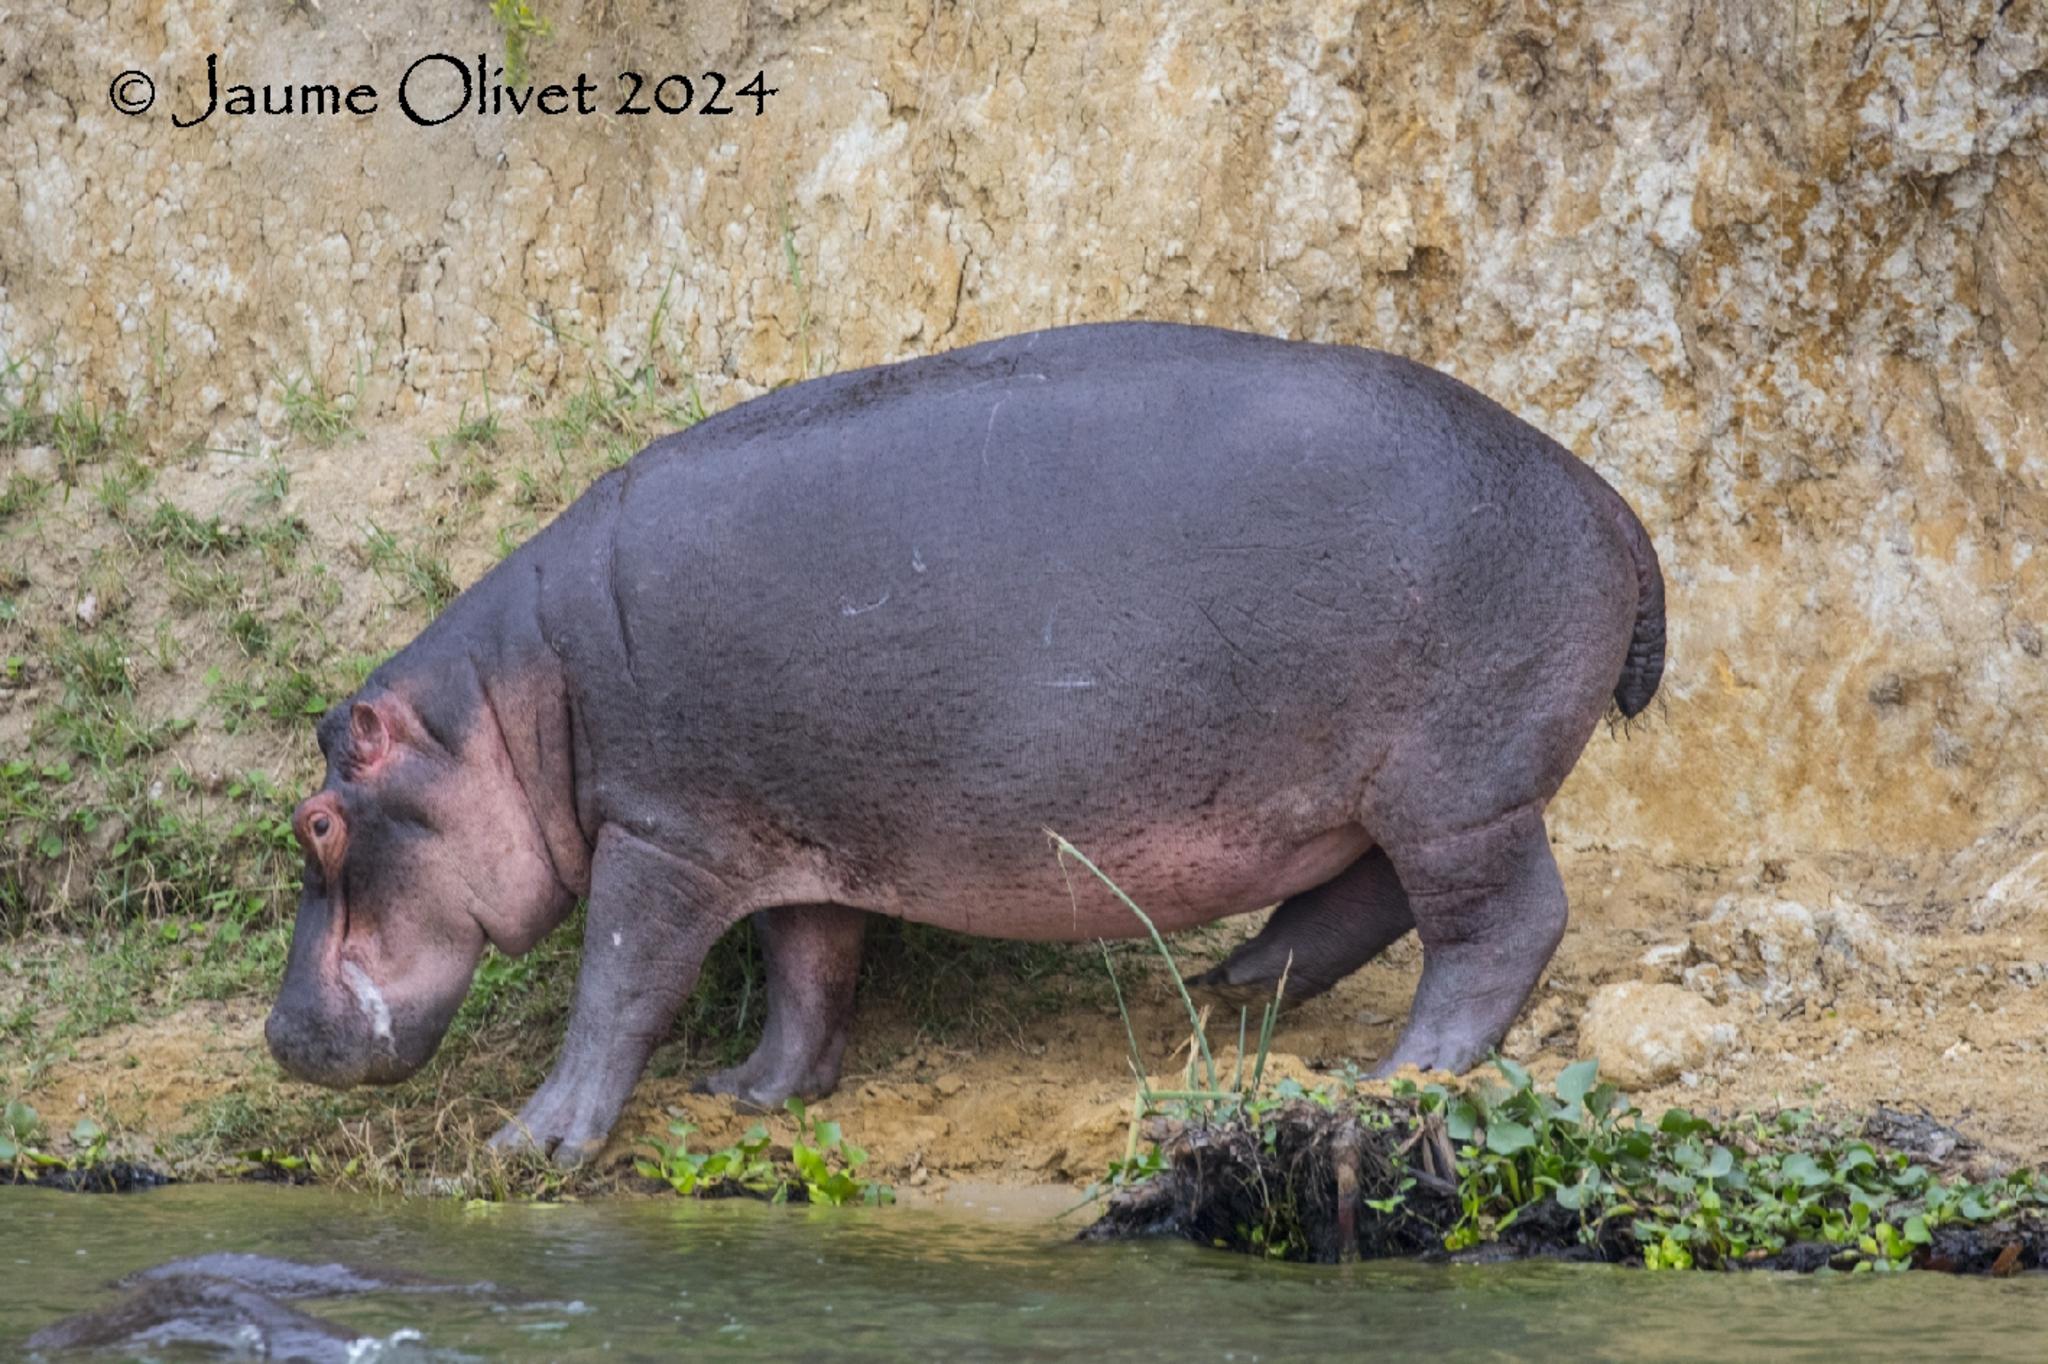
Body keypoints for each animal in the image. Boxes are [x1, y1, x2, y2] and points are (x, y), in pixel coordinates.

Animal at [264, 315, 1662, 1155]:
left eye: (316, 820)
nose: (277, 1037)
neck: (509, 706)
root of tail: (1610, 497)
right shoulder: (790, 837)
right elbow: (808, 973)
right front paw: (751, 1093)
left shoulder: (665, 831)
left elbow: (618, 982)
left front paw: (534, 1141)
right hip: (1374, 786)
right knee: (1370, 894)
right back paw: (1240, 983)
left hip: (1458, 786)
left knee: (1498, 921)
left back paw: (1403, 1070)